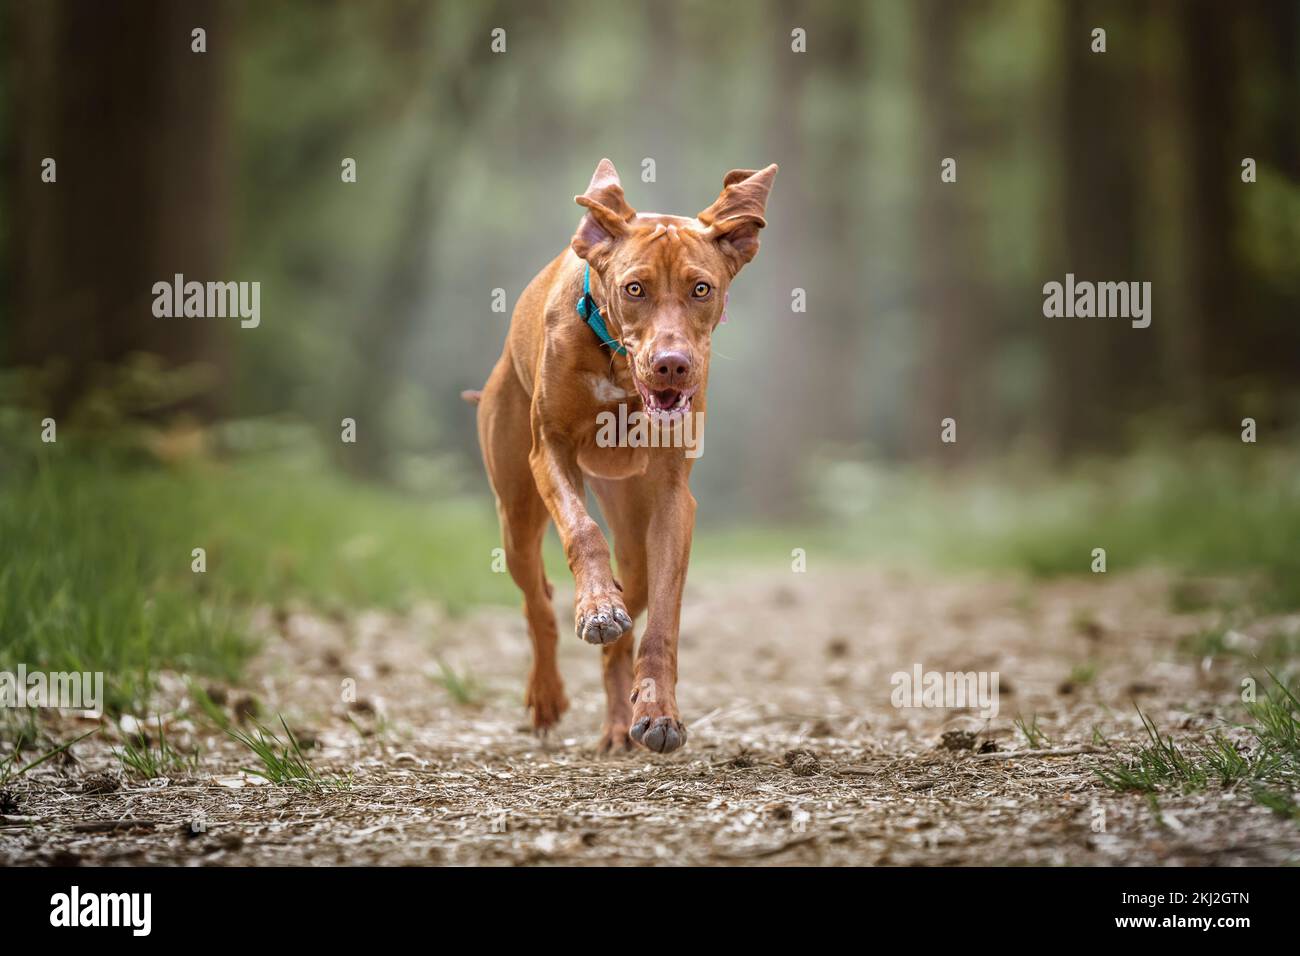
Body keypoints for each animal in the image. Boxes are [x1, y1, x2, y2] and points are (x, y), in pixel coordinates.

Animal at [465, 158, 774, 754]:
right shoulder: (550, 450)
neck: (615, 365)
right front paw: (597, 606)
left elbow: (662, 624)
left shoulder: (675, 500)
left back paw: (616, 724)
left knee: (624, 613)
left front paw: (659, 712)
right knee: (537, 599)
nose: (672, 364)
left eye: (702, 288)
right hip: (516, 514)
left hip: (633, 530)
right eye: (635, 288)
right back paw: (548, 692)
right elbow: (582, 532)